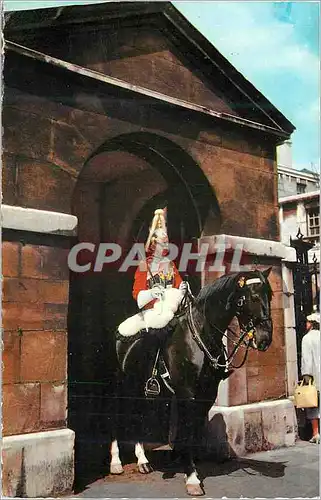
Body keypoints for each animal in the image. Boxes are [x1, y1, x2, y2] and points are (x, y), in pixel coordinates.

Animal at [109, 268, 272, 494]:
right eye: (251, 297)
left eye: (270, 295)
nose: (265, 339)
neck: (200, 338)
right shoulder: (187, 394)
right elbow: (186, 431)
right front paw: (192, 478)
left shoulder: (207, 395)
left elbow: (194, 431)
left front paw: (190, 465)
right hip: (124, 387)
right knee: (118, 416)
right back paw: (115, 463)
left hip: (144, 390)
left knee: (139, 416)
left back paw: (142, 461)